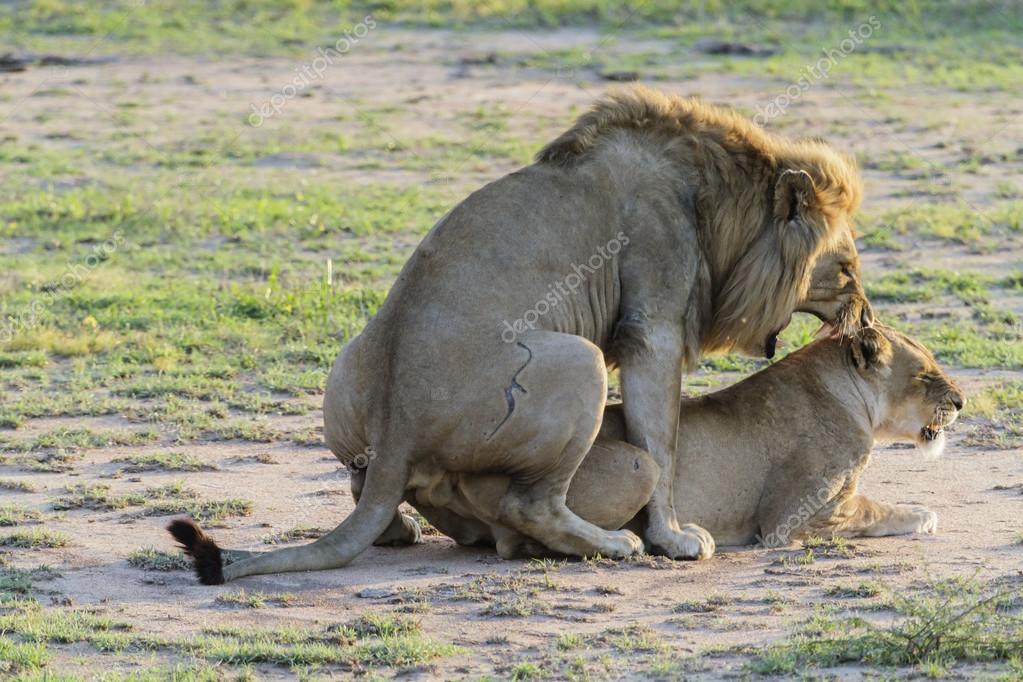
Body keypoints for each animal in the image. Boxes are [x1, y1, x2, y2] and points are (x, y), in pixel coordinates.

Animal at [171, 85, 867, 584]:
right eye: (847, 269)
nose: (866, 319)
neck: (721, 201)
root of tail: (397, 425)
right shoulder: (653, 324)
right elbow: (661, 446)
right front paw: (674, 539)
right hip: (579, 363)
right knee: (530, 506)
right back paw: (614, 544)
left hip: (347, 368)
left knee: (360, 484)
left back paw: (396, 529)